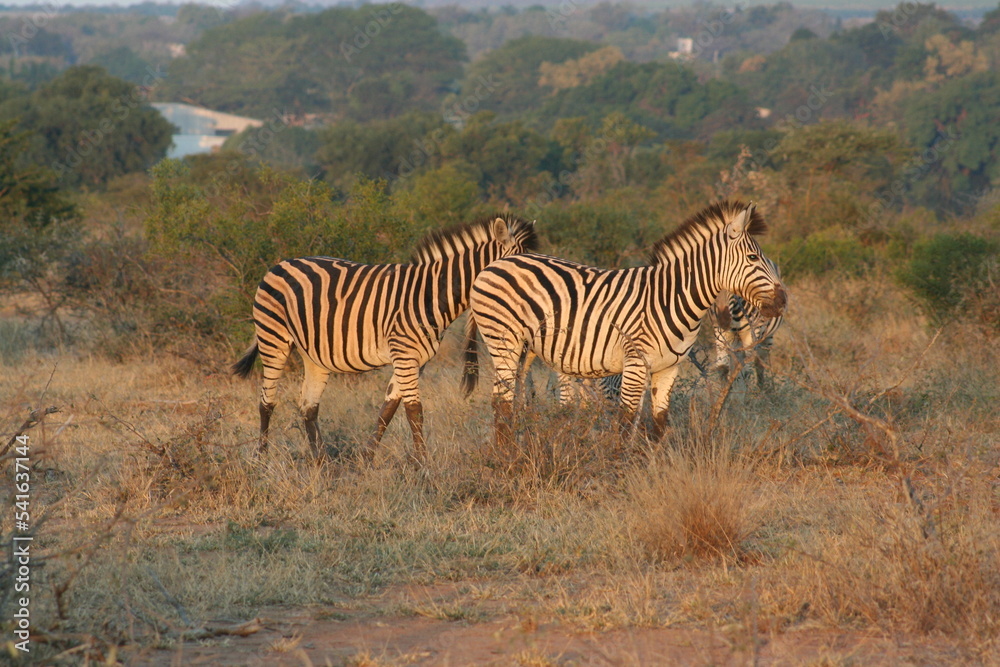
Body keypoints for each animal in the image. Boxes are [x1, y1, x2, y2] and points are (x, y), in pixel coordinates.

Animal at [232, 214, 538, 464]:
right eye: (514, 272)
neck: (431, 295)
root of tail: (281, 263)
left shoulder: (416, 359)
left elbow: (389, 408)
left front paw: (366, 459)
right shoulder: (404, 353)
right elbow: (414, 410)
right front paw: (423, 464)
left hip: (314, 354)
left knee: (308, 407)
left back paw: (321, 462)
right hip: (273, 337)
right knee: (266, 402)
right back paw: (261, 459)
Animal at [462, 201, 786, 448]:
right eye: (753, 257)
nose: (783, 300)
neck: (670, 297)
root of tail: (493, 265)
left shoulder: (668, 367)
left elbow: (658, 423)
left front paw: (651, 467)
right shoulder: (635, 362)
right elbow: (626, 421)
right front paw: (620, 467)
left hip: (525, 349)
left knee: (514, 398)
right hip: (503, 342)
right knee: (501, 402)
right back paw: (507, 456)